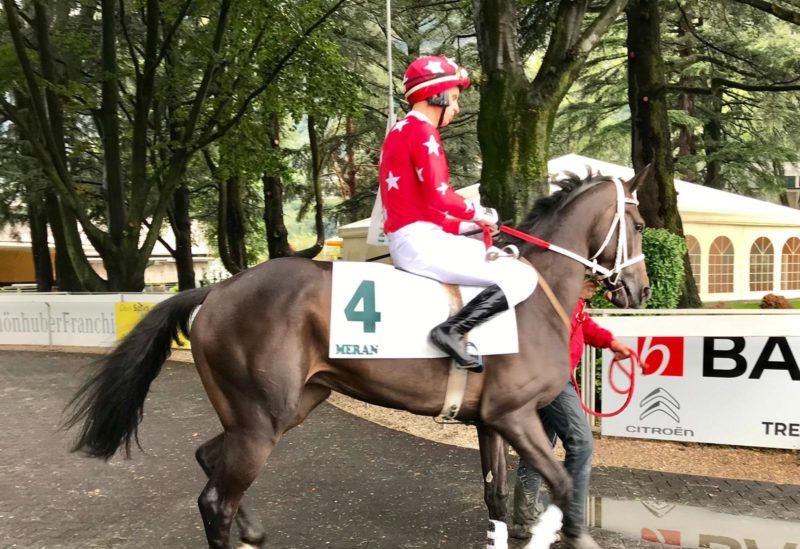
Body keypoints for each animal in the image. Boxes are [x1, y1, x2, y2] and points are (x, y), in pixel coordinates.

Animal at [62, 169, 648, 544]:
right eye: (641, 225)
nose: (640, 290)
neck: (536, 297)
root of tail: (218, 289)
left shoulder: (491, 421)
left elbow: (497, 498)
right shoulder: (515, 415)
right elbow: (562, 482)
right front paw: (578, 537)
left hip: (283, 408)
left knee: (209, 459)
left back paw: (252, 528)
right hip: (261, 420)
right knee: (214, 501)